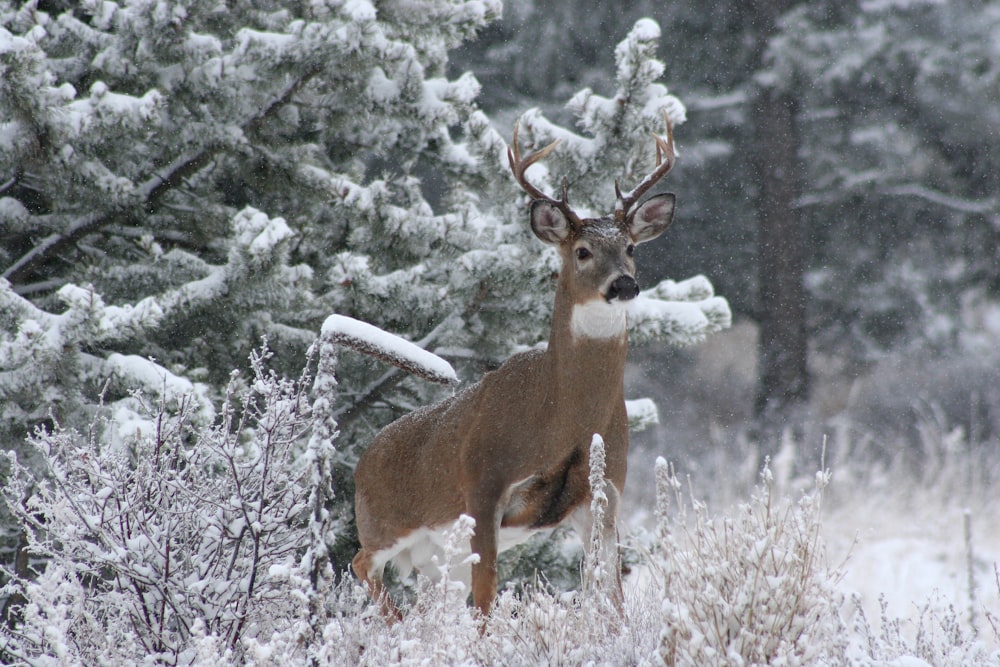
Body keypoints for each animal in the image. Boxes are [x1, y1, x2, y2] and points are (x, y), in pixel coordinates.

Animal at [352, 112, 680, 624]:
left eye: (631, 247)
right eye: (582, 251)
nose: (624, 284)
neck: (562, 417)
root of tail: (359, 462)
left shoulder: (605, 493)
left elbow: (611, 593)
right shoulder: (484, 479)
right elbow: (488, 595)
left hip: (437, 556)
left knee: (433, 598)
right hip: (384, 525)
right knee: (360, 563)